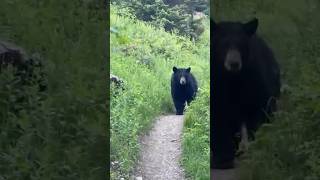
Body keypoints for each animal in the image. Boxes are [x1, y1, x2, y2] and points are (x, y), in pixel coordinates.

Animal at [211, 18, 282, 169]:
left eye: (241, 44)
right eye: (223, 44)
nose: (234, 63)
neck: (233, 78)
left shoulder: (254, 79)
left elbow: (259, 110)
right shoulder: (217, 86)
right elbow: (218, 118)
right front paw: (222, 159)